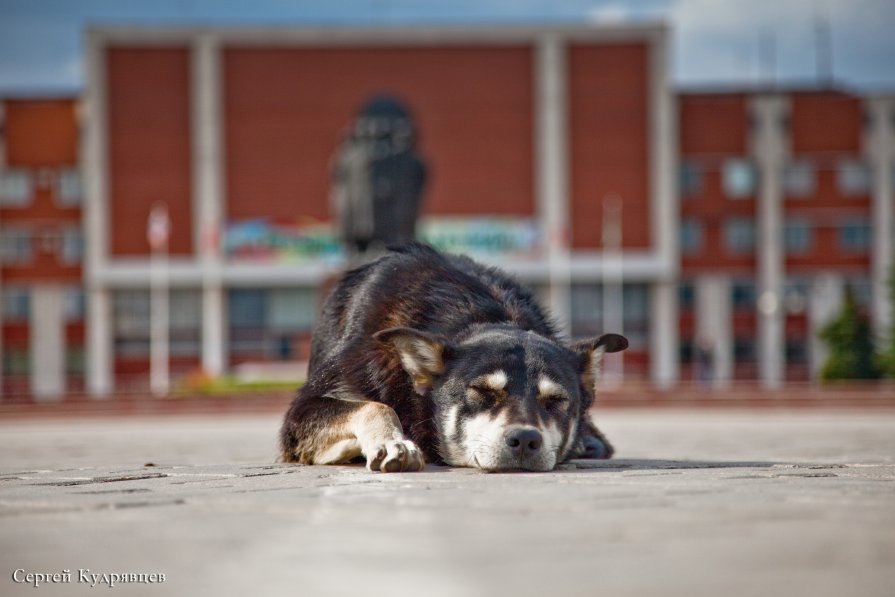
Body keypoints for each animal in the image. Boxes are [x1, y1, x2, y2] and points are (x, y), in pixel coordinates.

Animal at [278, 242, 624, 470]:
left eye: (556, 401)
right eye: (483, 392)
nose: (526, 440)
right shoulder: (299, 416)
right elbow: (375, 406)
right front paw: (392, 442)